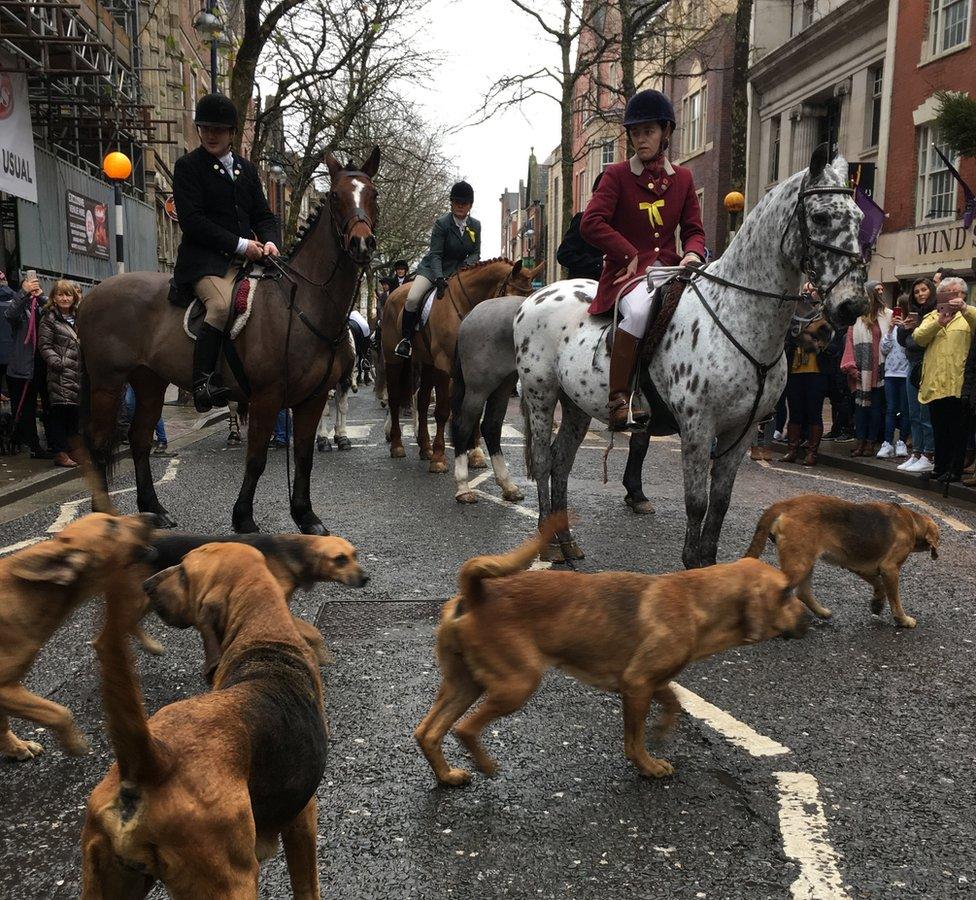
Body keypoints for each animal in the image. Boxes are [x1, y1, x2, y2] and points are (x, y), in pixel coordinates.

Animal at [77, 148, 382, 536]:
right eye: (336, 197)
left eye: (373, 194)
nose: (362, 243)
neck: (302, 302)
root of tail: (91, 296)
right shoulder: (268, 396)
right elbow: (256, 459)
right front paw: (244, 517)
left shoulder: (312, 398)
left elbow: (304, 457)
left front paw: (306, 516)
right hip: (108, 382)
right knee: (98, 444)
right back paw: (103, 517)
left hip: (149, 381)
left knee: (139, 439)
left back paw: (155, 510)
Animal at [382, 258, 544, 474]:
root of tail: (395, 293)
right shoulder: (444, 365)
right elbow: (443, 411)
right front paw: (439, 457)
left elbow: (474, 412)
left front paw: (475, 453)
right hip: (395, 360)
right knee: (394, 400)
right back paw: (397, 445)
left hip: (427, 363)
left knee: (422, 401)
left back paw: (425, 448)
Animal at [416, 516, 804, 784]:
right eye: (787, 592)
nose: (808, 619)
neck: (697, 601)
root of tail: (476, 593)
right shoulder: (637, 684)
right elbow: (634, 739)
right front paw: (649, 765)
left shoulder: (650, 681)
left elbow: (674, 702)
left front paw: (663, 729)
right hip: (516, 684)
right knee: (465, 729)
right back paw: (484, 765)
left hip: (465, 683)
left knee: (427, 732)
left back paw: (447, 776)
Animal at [516, 148, 864, 568]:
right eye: (821, 217)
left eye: (860, 218)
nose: (852, 306)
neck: (737, 316)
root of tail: (534, 297)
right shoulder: (699, 425)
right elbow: (697, 502)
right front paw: (692, 564)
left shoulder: (742, 430)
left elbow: (720, 502)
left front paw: (710, 565)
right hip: (541, 394)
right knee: (545, 460)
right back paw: (548, 544)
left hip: (577, 404)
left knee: (561, 461)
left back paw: (566, 542)